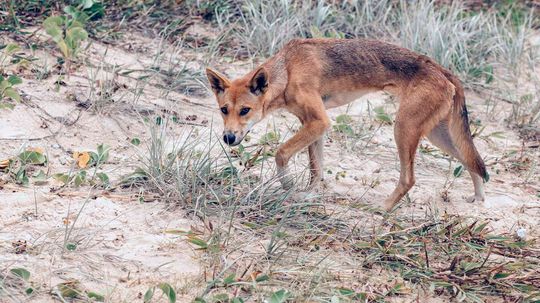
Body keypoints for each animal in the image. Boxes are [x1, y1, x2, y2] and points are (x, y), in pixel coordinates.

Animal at [205, 38, 488, 211]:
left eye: (245, 110)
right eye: (223, 110)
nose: (228, 138)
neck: (287, 70)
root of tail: (443, 70)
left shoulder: (319, 121)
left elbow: (281, 153)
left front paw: (287, 186)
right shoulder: (313, 125)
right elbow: (316, 170)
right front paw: (309, 194)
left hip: (404, 129)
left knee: (409, 179)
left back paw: (383, 209)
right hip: (437, 135)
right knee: (471, 162)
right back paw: (479, 198)